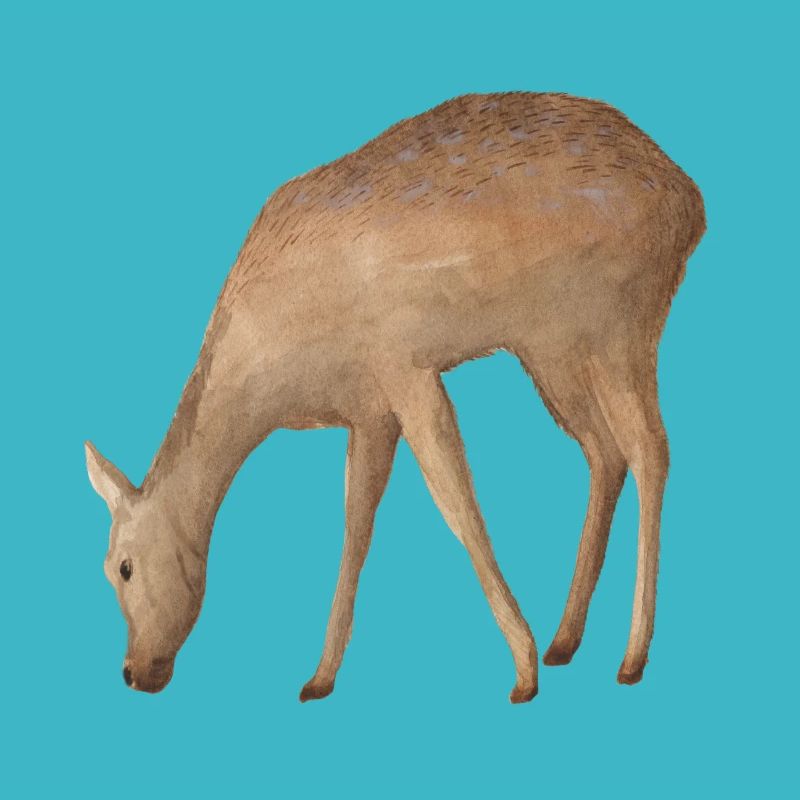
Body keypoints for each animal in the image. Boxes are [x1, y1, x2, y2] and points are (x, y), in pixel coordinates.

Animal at [85, 92, 705, 703]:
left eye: (122, 567)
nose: (134, 672)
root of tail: (692, 204)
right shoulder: (368, 410)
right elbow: (356, 525)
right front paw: (319, 677)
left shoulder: (405, 366)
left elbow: (458, 506)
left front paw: (522, 673)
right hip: (550, 344)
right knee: (604, 450)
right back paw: (565, 641)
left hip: (622, 320)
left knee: (651, 447)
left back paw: (630, 657)